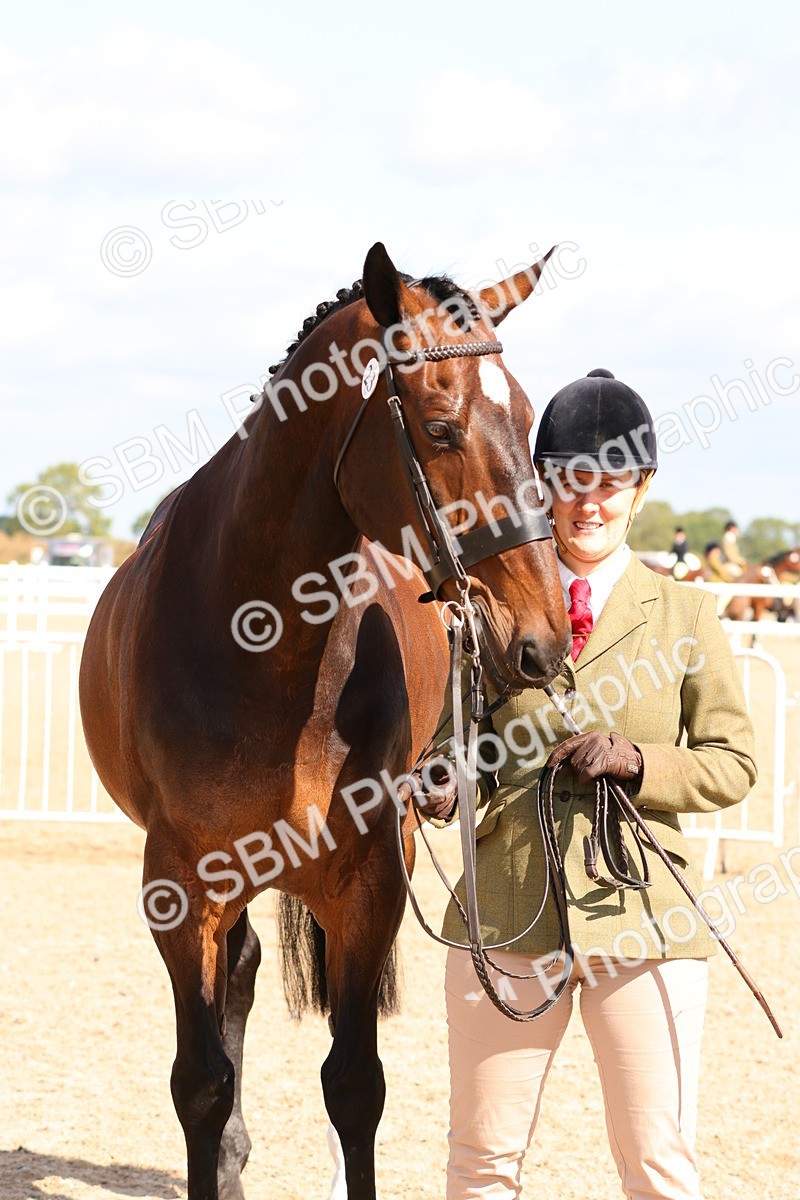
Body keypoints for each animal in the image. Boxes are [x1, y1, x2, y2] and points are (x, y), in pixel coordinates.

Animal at [79, 242, 572, 1200]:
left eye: (530, 418)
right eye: (440, 427)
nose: (540, 638)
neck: (262, 648)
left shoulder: (368, 880)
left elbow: (354, 1083)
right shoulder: (179, 885)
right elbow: (201, 1082)